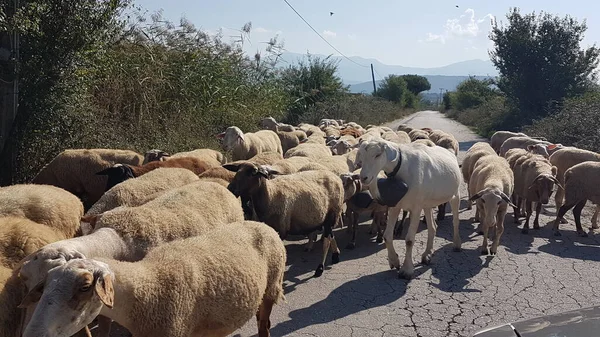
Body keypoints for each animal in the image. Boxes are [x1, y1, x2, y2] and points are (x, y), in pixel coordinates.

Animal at [19, 219, 288, 336]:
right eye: (44, 286)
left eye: (85, 287)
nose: (33, 334)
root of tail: (261, 224)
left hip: (271, 286)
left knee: (264, 324)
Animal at [358, 139, 462, 278]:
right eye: (362, 156)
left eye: (378, 155)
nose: (364, 178)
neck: (403, 165)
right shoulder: (395, 206)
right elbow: (387, 236)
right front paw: (394, 261)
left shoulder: (416, 208)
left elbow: (409, 240)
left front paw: (406, 270)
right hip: (427, 202)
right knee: (432, 227)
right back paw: (427, 255)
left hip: (455, 195)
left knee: (455, 221)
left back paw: (457, 244)